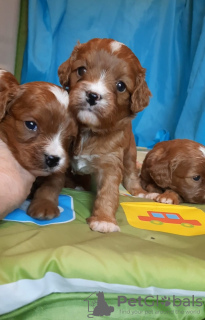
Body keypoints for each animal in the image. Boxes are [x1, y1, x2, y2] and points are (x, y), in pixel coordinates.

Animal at [0, 70, 77, 220]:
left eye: (70, 138)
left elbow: (51, 185)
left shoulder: (58, 171)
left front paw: (44, 206)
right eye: (31, 124)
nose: (53, 160)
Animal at [56, 38, 152, 232]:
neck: (89, 130)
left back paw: (139, 192)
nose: (93, 96)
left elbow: (108, 192)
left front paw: (104, 220)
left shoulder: (111, 161)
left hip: (130, 154)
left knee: (131, 174)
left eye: (121, 86)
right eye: (81, 70)